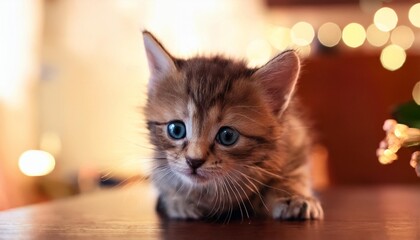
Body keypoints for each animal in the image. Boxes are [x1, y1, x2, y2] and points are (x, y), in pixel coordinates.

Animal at [143, 31, 324, 221]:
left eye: (227, 136)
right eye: (176, 130)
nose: (194, 161)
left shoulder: (295, 141)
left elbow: (295, 174)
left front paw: (295, 197)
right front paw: (180, 201)